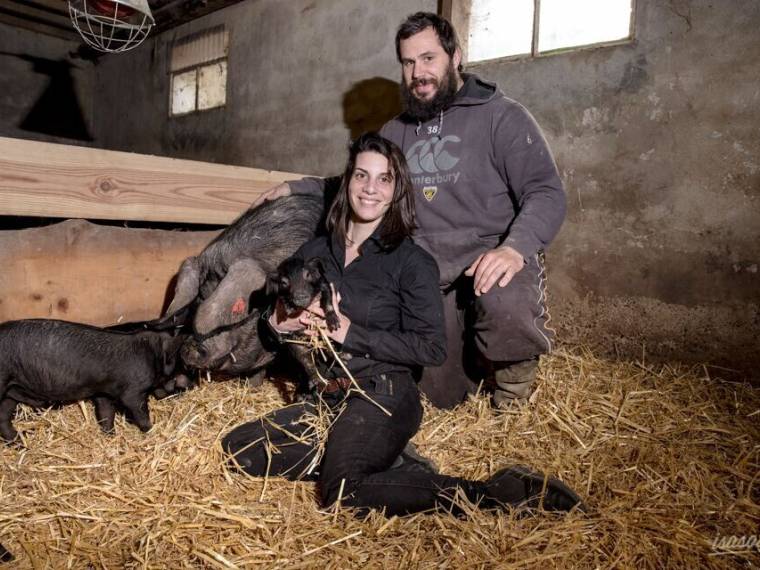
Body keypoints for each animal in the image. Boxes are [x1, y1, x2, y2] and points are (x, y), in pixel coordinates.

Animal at [0, 318, 183, 442]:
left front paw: (110, 436)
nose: (174, 388)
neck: (152, 352)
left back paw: (21, 442)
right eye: (175, 362)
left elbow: (105, 413)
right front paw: (151, 430)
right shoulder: (133, 391)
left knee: (3, 417)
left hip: (11, 392)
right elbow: (139, 410)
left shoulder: (103, 391)